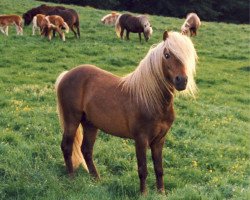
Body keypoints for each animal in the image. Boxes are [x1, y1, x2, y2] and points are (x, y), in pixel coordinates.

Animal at [54, 30, 197, 194]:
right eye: (167, 55)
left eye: (187, 56)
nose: (182, 81)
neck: (151, 99)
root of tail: (66, 74)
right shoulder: (141, 139)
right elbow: (143, 169)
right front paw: (143, 194)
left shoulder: (159, 140)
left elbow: (159, 169)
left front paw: (161, 193)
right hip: (72, 120)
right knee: (67, 147)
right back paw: (71, 179)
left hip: (90, 124)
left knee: (86, 150)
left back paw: (96, 180)